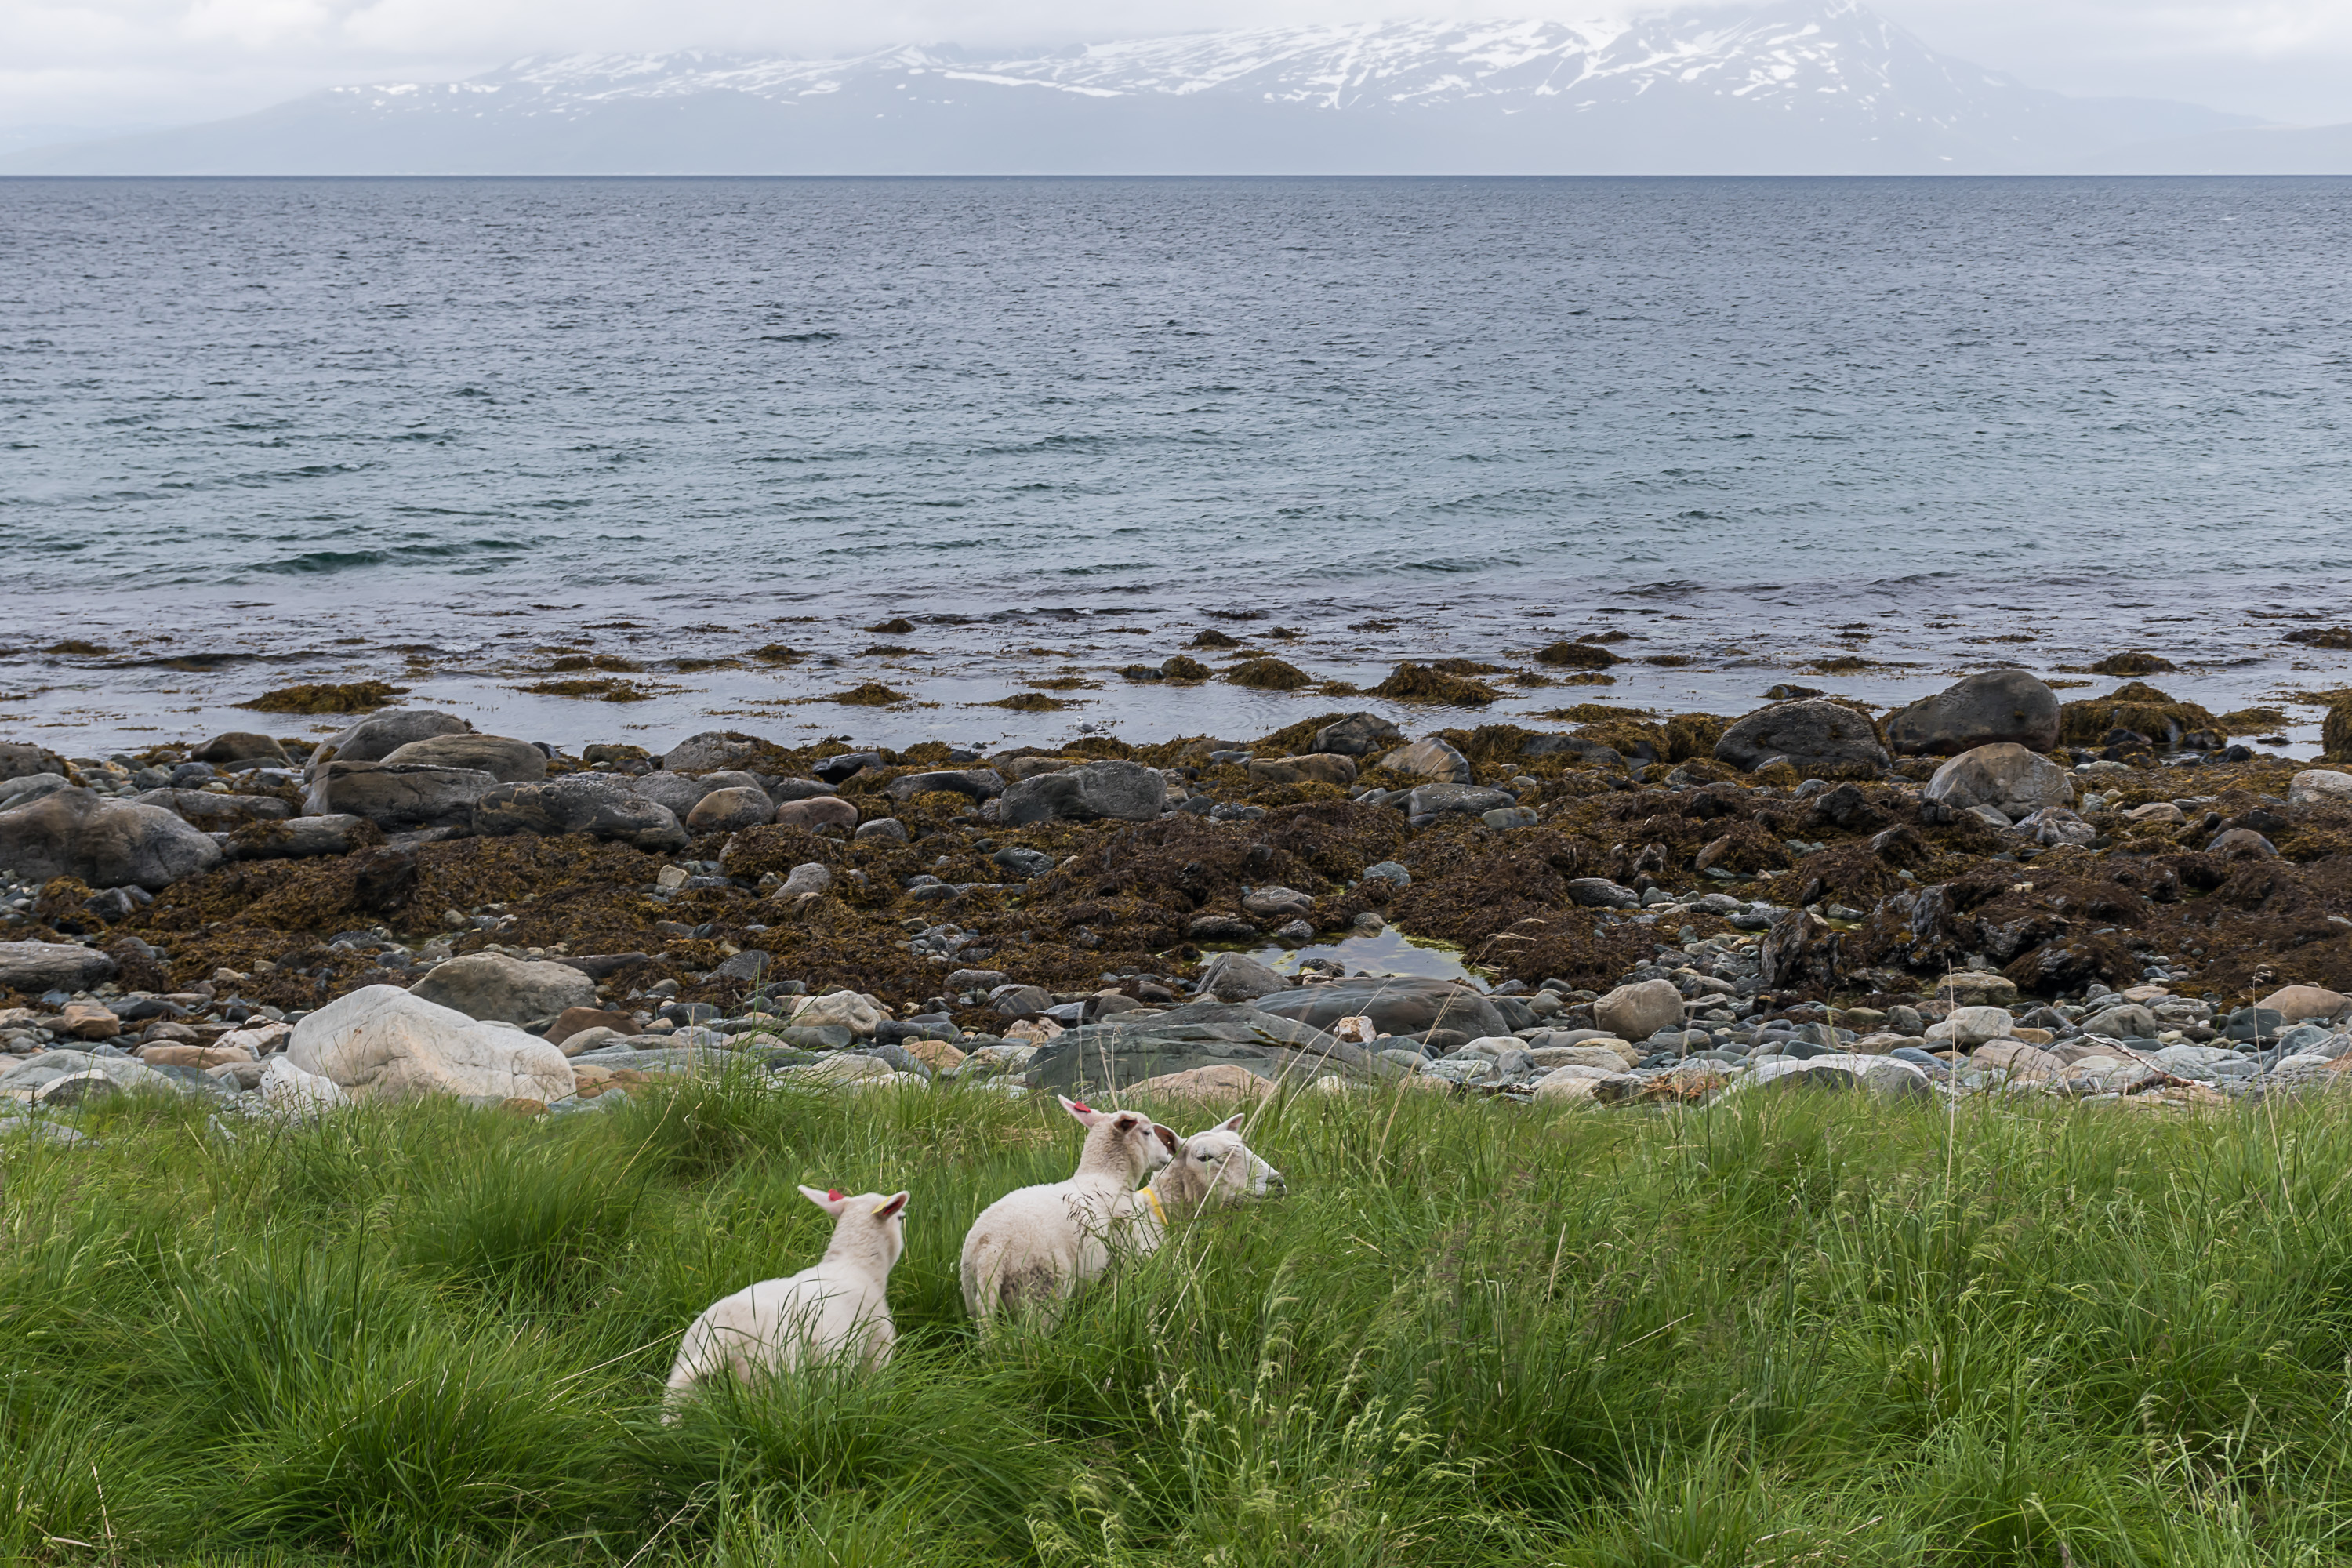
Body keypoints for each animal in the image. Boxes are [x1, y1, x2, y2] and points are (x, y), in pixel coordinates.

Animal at [663, 1184, 909, 1414]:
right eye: (900, 1217)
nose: (904, 1217)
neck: (856, 1263)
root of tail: (720, 1342)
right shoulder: (877, 1350)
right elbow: (877, 1390)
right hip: (768, 1383)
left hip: (688, 1378)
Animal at [959, 1095, 1176, 1324]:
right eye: (1147, 1132)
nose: (1166, 1155)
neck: (1108, 1177)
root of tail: (993, 1247)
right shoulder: (1125, 1251)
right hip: (1040, 1288)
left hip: (974, 1292)